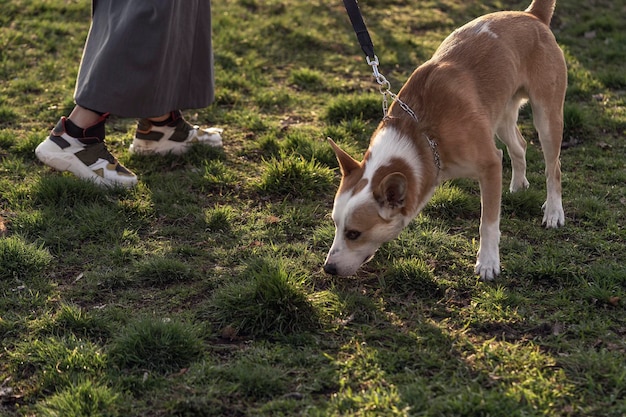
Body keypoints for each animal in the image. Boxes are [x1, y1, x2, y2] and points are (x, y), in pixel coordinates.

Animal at [322, 0, 564, 280]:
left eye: (354, 234)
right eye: (335, 224)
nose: (328, 268)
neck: (421, 132)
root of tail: (531, 15)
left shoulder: (490, 164)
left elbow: (488, 223)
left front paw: (488, 262)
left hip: (547, 116)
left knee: (553, 167)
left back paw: (554, 212)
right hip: (501, 115)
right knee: (520, 146)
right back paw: (517, 185)